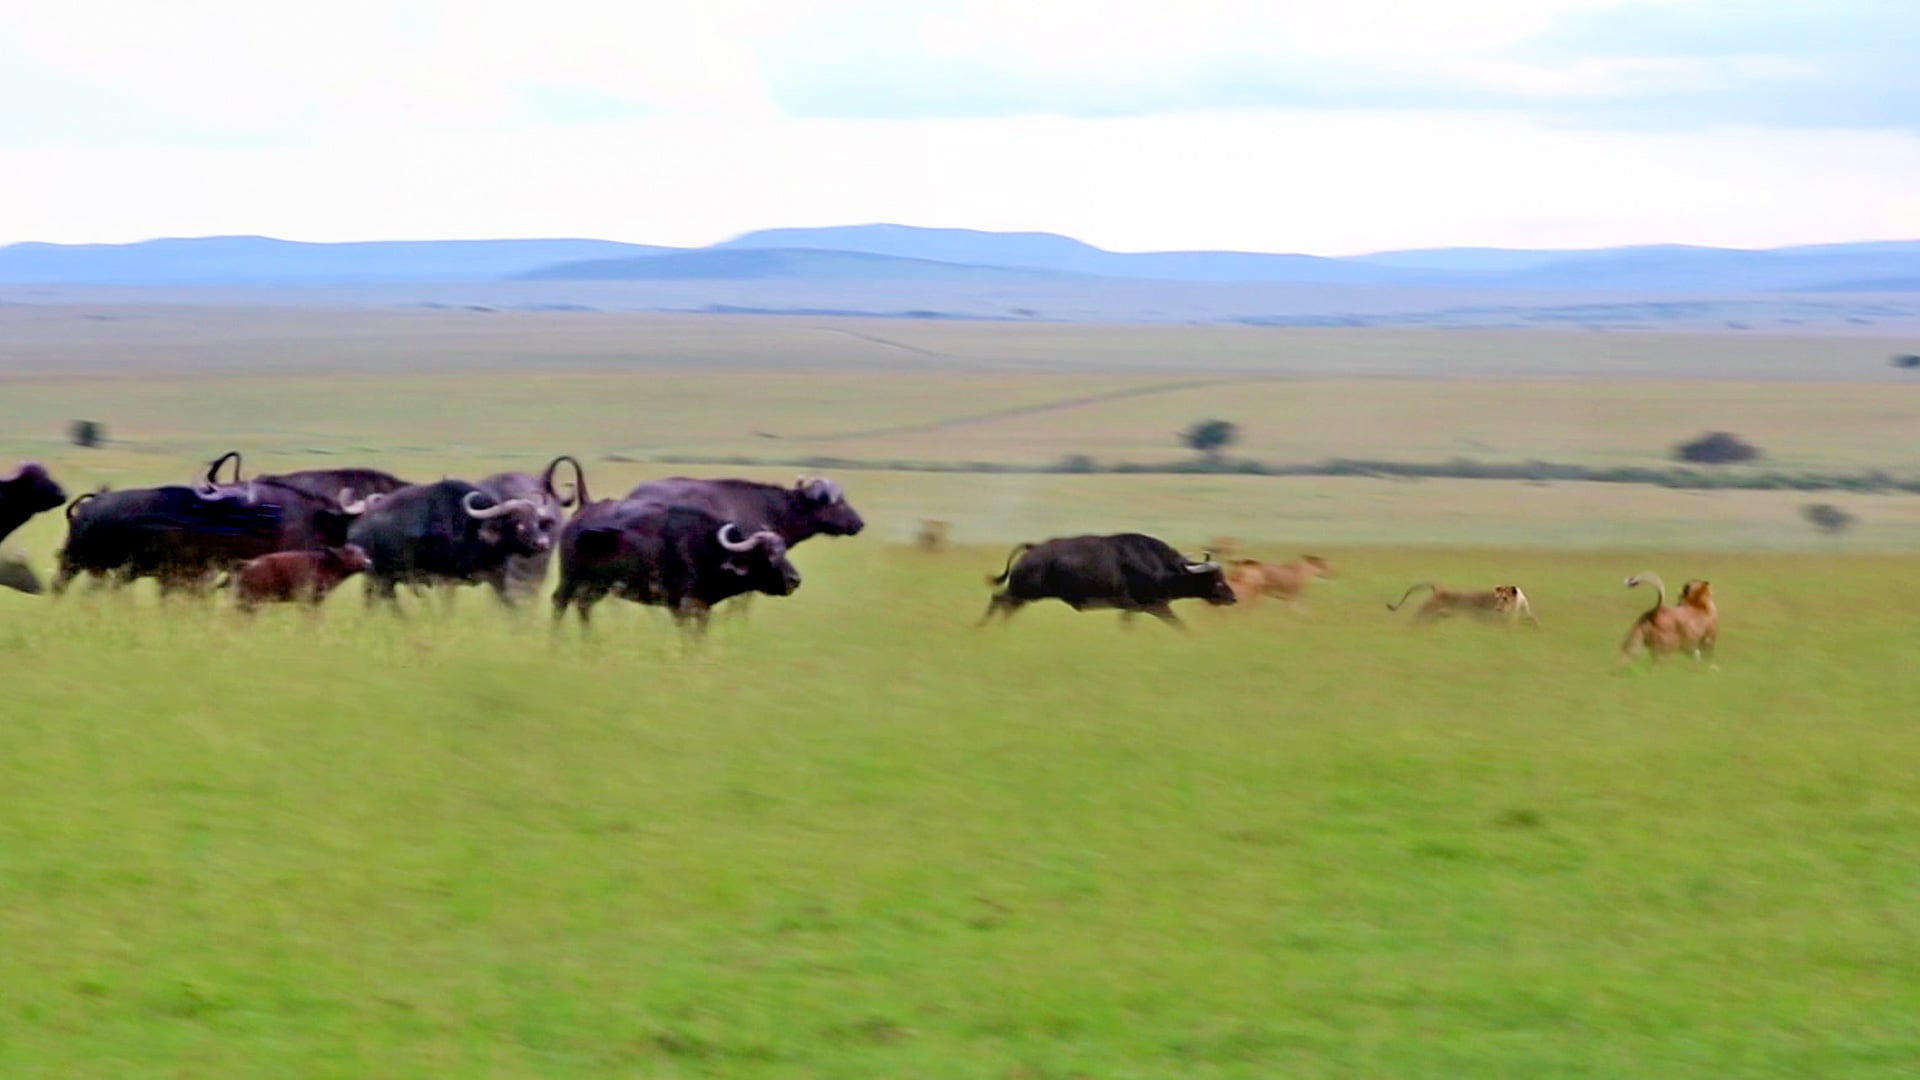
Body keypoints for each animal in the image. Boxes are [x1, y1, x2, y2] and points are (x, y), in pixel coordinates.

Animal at [224, 545, 371, 612]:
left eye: (363, 551)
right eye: (349, 552)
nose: (368, 563)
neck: (326, 564)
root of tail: (249, 563)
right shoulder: (307, 601)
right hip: (254, 601)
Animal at [346, 479, 550, 606]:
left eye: (537, 522)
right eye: (519, 524)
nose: (542, 543)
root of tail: (358, 527)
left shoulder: (497, 577)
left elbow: (510, 605)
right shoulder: (445, 581)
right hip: (377, 576)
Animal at [552, 502, 799, 634]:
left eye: (784, 551)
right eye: (768, 554)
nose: (795, 579)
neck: (708, 550)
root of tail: (577, 518)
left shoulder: (703, 608)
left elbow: (700, 635)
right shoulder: (679, 606)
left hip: (596, 587)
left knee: (583, 607)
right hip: (570, 580)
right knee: (559, 604)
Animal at [979, 534, 1236, 629]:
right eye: (1216, 579)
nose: (1233, 597)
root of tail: (1033, 548)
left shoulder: (1136, 609)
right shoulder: (1154, 605)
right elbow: (1180, 625)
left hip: (1023, 594)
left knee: (1005, 605)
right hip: (1023, 591)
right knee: (998, 598)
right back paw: (981, 627)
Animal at [1386, 582, 1540, 627]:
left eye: (1505, 598)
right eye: (1497, 598)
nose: (1498, 608)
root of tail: (1438, 588)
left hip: (1433, 617)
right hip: (1426, 612)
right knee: (1415, 622)